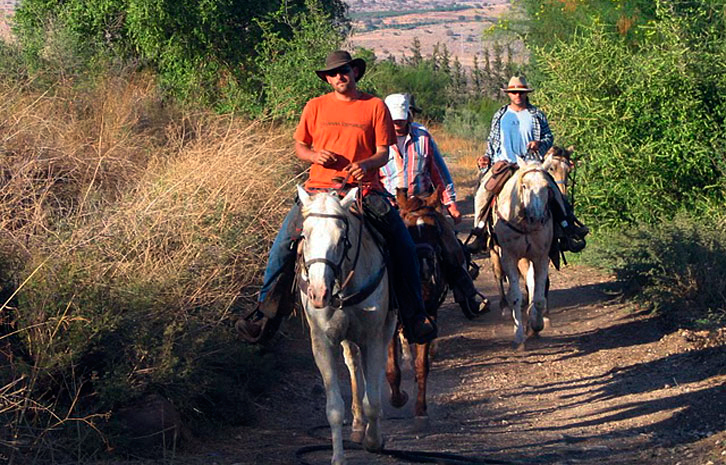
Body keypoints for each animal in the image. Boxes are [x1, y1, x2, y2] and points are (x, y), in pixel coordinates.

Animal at [296, 185, 398, 464]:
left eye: (342, 238)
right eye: (305, 235)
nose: (319, 293)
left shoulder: (373, 338)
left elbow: (372, 399)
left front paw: (374, 441)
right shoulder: (322, 343)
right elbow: (333, 408)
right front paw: (338, 457)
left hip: (387, 327)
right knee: (353, 363)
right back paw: (358, 423)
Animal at [386, 187, 450, 426]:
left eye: (437, 230)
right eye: (407, 227)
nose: (424, 267)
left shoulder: (428, 316)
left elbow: (422, 366)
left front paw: (421, 409)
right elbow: (392, 368)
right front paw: (398, 398)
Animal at [492, 158, 556, 350]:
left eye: (546, 186)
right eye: (524, 186)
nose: (536, 218)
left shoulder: (541, 257)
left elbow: (539, 297)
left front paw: (536, 324)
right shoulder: (509, 257)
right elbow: (516, 297)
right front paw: (519, 336)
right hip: (497, 256)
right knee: (500, 277)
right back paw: (505, 308)